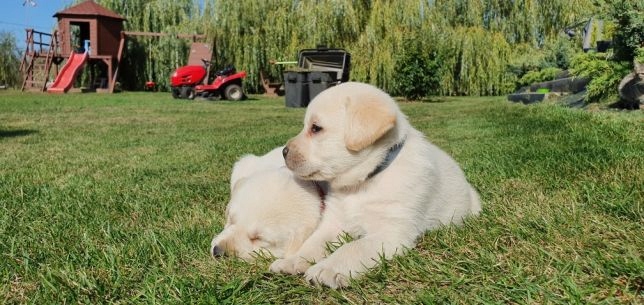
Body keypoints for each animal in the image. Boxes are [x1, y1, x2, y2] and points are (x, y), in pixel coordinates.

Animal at [270, 82, 480, 286]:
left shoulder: (391, 232)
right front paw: (292, 261)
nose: (284, 151)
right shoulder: (333, 223)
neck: (363, 181)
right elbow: (312, 243)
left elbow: (353, 247)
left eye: (316, 128)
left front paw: (327, 268)